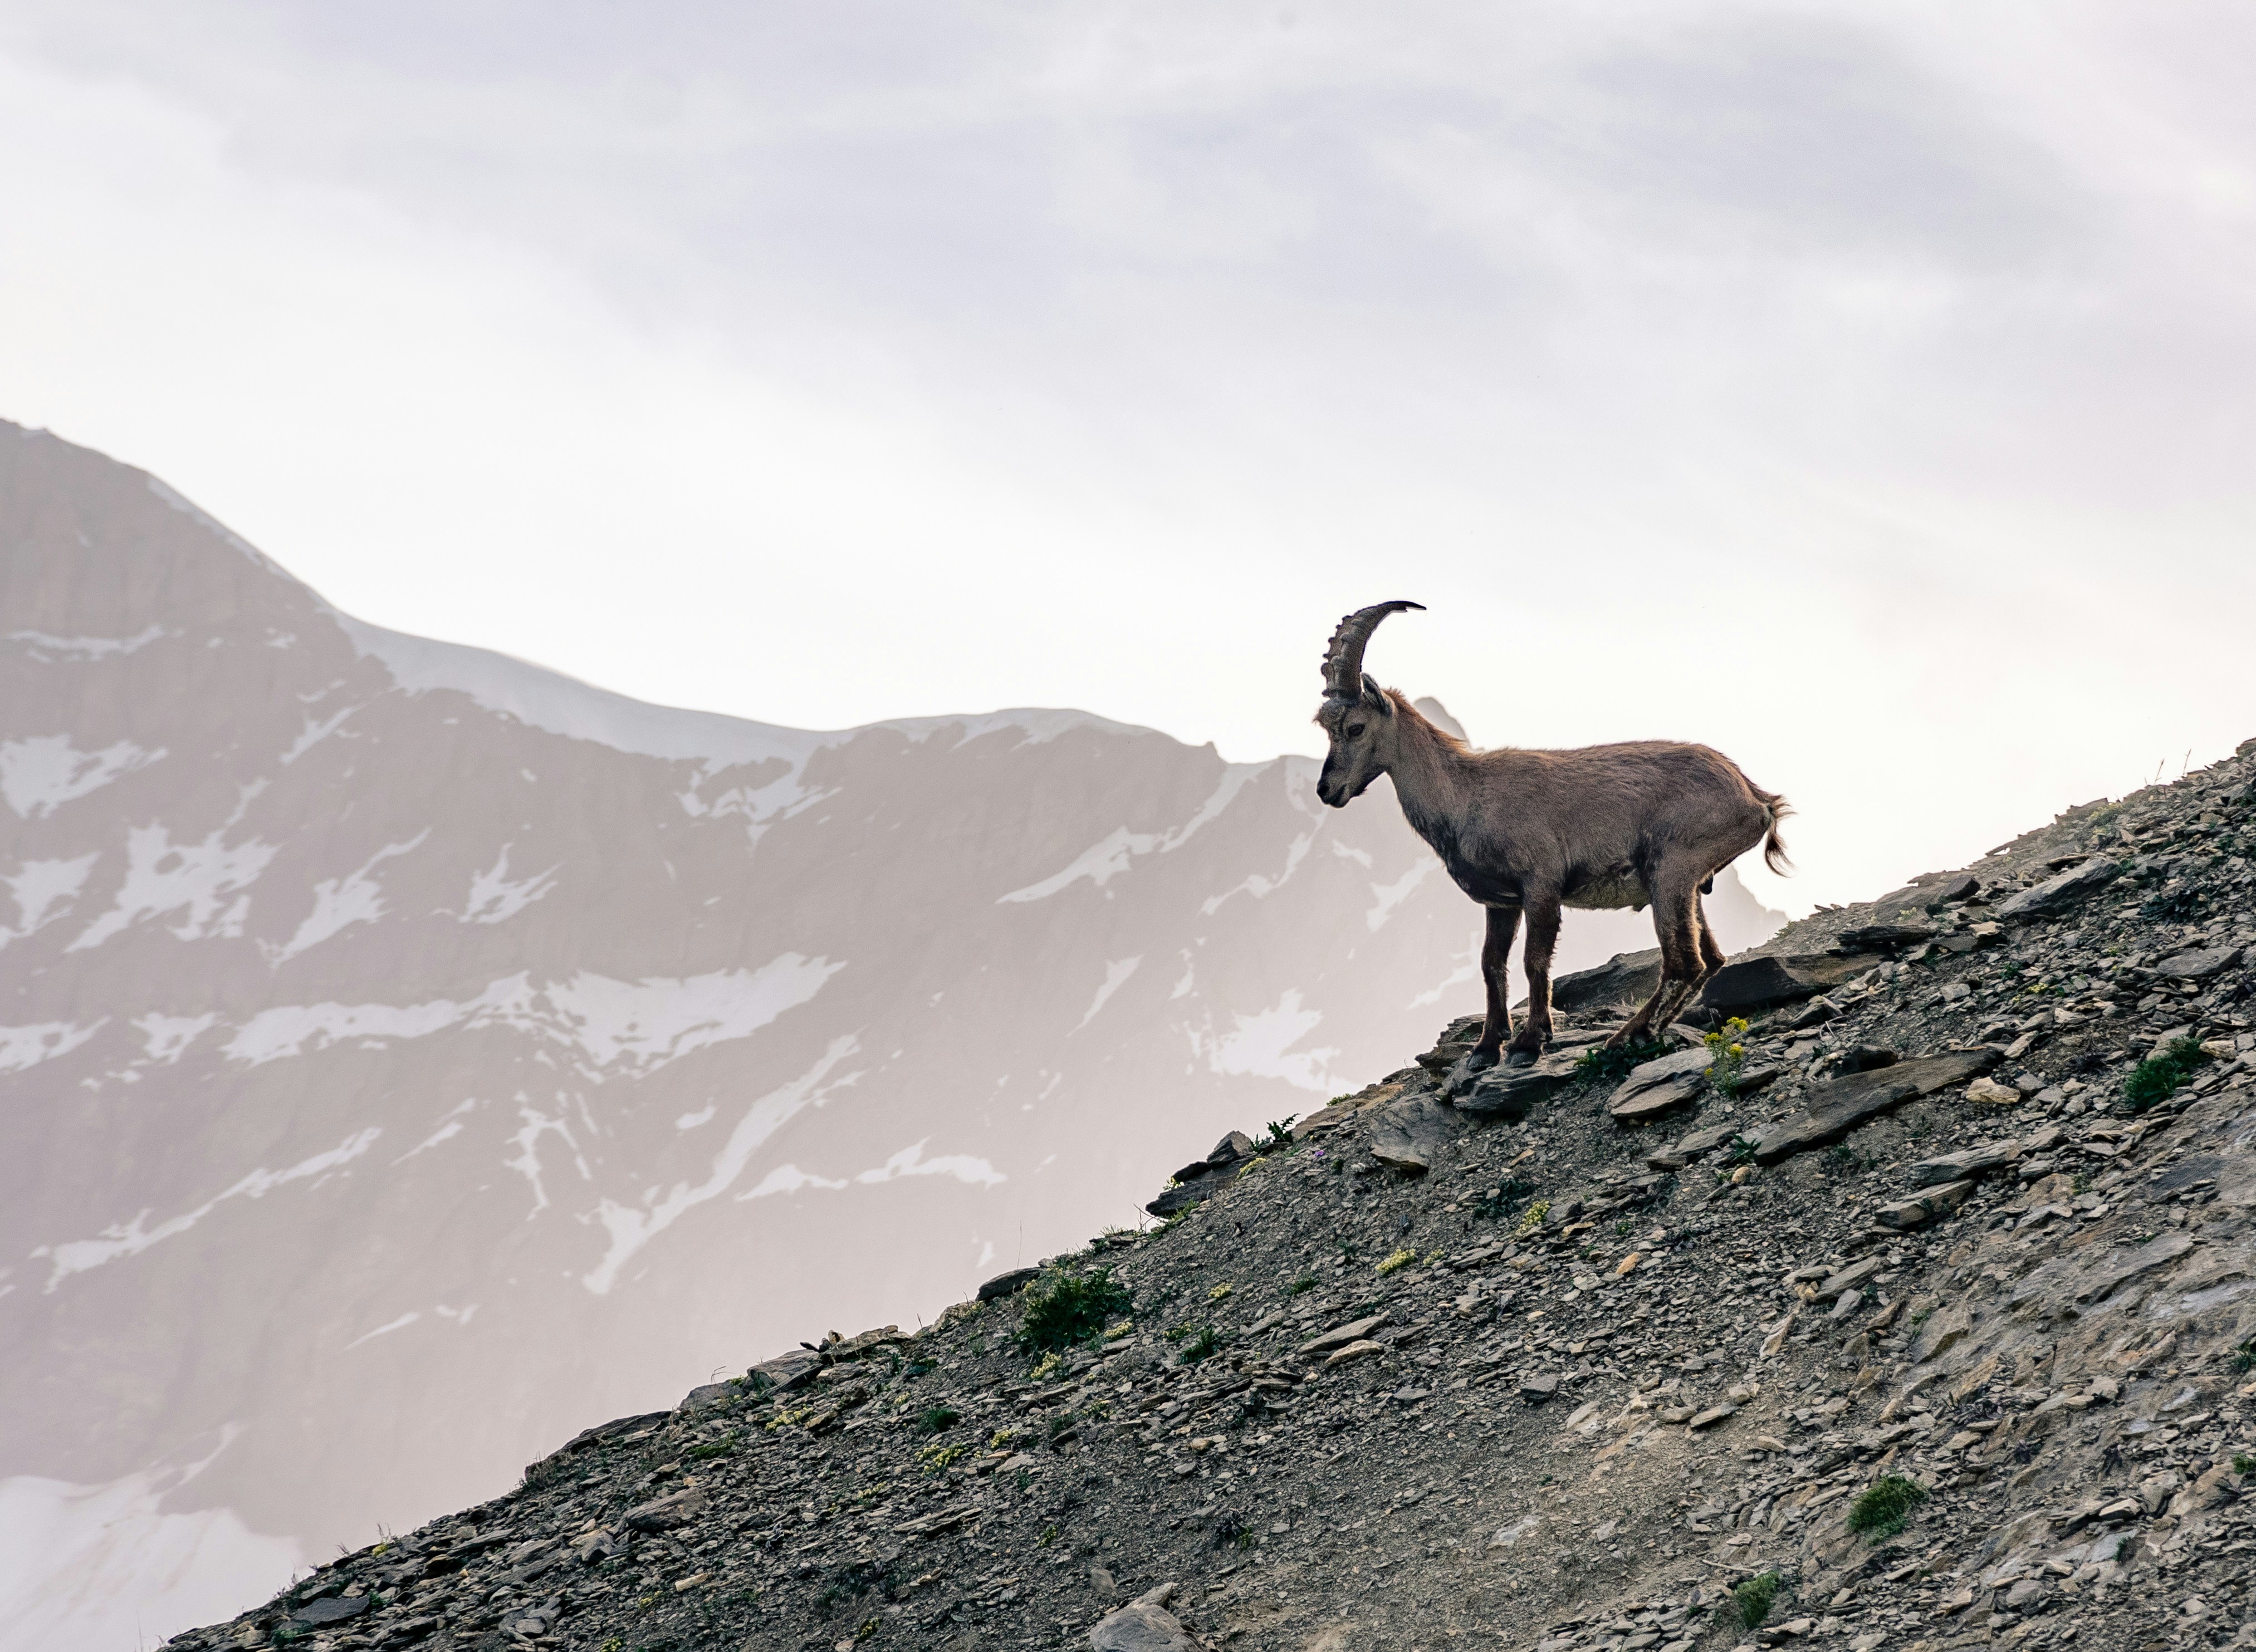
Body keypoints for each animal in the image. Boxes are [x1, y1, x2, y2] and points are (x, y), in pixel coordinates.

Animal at [1313, 600, 1789, 1074]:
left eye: (1355, 727)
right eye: (1326, 727)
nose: (1326, 790)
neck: (1466, 794)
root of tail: (1755, 798)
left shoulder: (1540, 884)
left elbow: (1533, 960)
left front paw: (1529, 1041)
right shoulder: (1500, 901)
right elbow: (1491, 964)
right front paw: (1486, 1047)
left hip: (1671, 870)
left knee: (1682, 962)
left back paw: (1625, 1038)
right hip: (1688, 886)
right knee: (1708, 959)